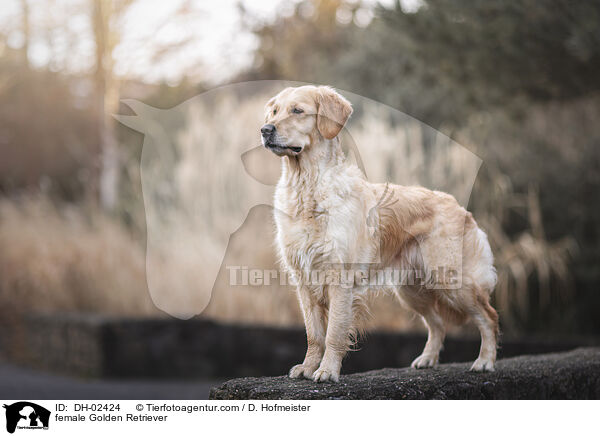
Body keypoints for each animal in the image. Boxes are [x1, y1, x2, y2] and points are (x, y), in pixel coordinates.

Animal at [260, 85, 500, 382]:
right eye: (274, 111)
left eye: (297, 110)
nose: (265, 129)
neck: (307, 185)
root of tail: (460, 207)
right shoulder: (303, 279)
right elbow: (314, 334)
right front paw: (307, 367)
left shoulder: (340, 277)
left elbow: (334, 332)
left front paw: (327, 371)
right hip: (411, 290)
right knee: (437, 323)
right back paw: (427, 359)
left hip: (453, 280)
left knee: (488, 316)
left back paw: (485, 361)